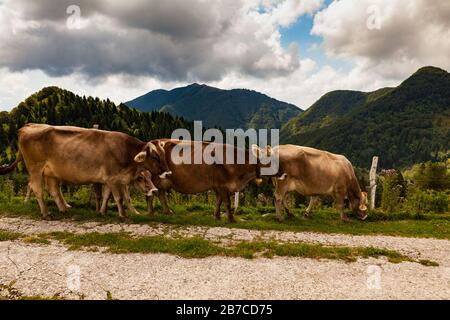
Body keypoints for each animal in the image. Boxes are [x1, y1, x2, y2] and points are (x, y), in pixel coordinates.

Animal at [0, 123, 170, 220]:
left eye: (163, 155)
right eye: (155, 156)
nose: (168, 173)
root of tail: (25, 128)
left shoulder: (109, 180)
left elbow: (106, 196)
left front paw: (102, 212)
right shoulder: (113, 178)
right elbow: (119, 198)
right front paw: (123, 215)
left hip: (50, 172)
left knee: (53, 190)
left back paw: (63, 209)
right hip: (35, 167)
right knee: (36, 188)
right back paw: (46, 213)